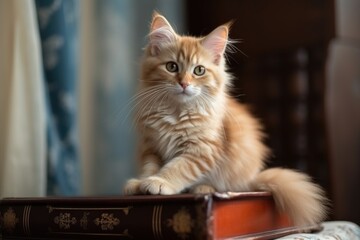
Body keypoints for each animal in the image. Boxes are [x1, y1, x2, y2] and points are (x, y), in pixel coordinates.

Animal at [123, 12, 326, 226]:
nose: (184, 83)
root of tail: (253, 179)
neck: (176, 112)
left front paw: (159, 182)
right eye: (172, 67)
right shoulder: (151, 146)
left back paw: (203, 188)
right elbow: (150, 167)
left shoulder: (202, 150)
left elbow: (177, 168)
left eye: (199, 70)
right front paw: (140, 183)